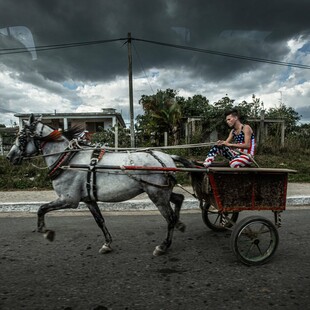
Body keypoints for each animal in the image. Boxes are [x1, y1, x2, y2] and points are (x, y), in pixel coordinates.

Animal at [6, 115, 186, 256]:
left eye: (21, 137)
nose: (9, 157)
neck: (68, 160)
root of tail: (168, 157)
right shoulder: (89, 199)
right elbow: (99, 220)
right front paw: (107, 244)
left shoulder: (68, 200)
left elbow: (42, 208)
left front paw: (44, 231)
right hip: (161, 191)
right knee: (179, 198)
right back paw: (179, 224)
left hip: (157, 194)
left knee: (169, 218)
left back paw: (163, 245)